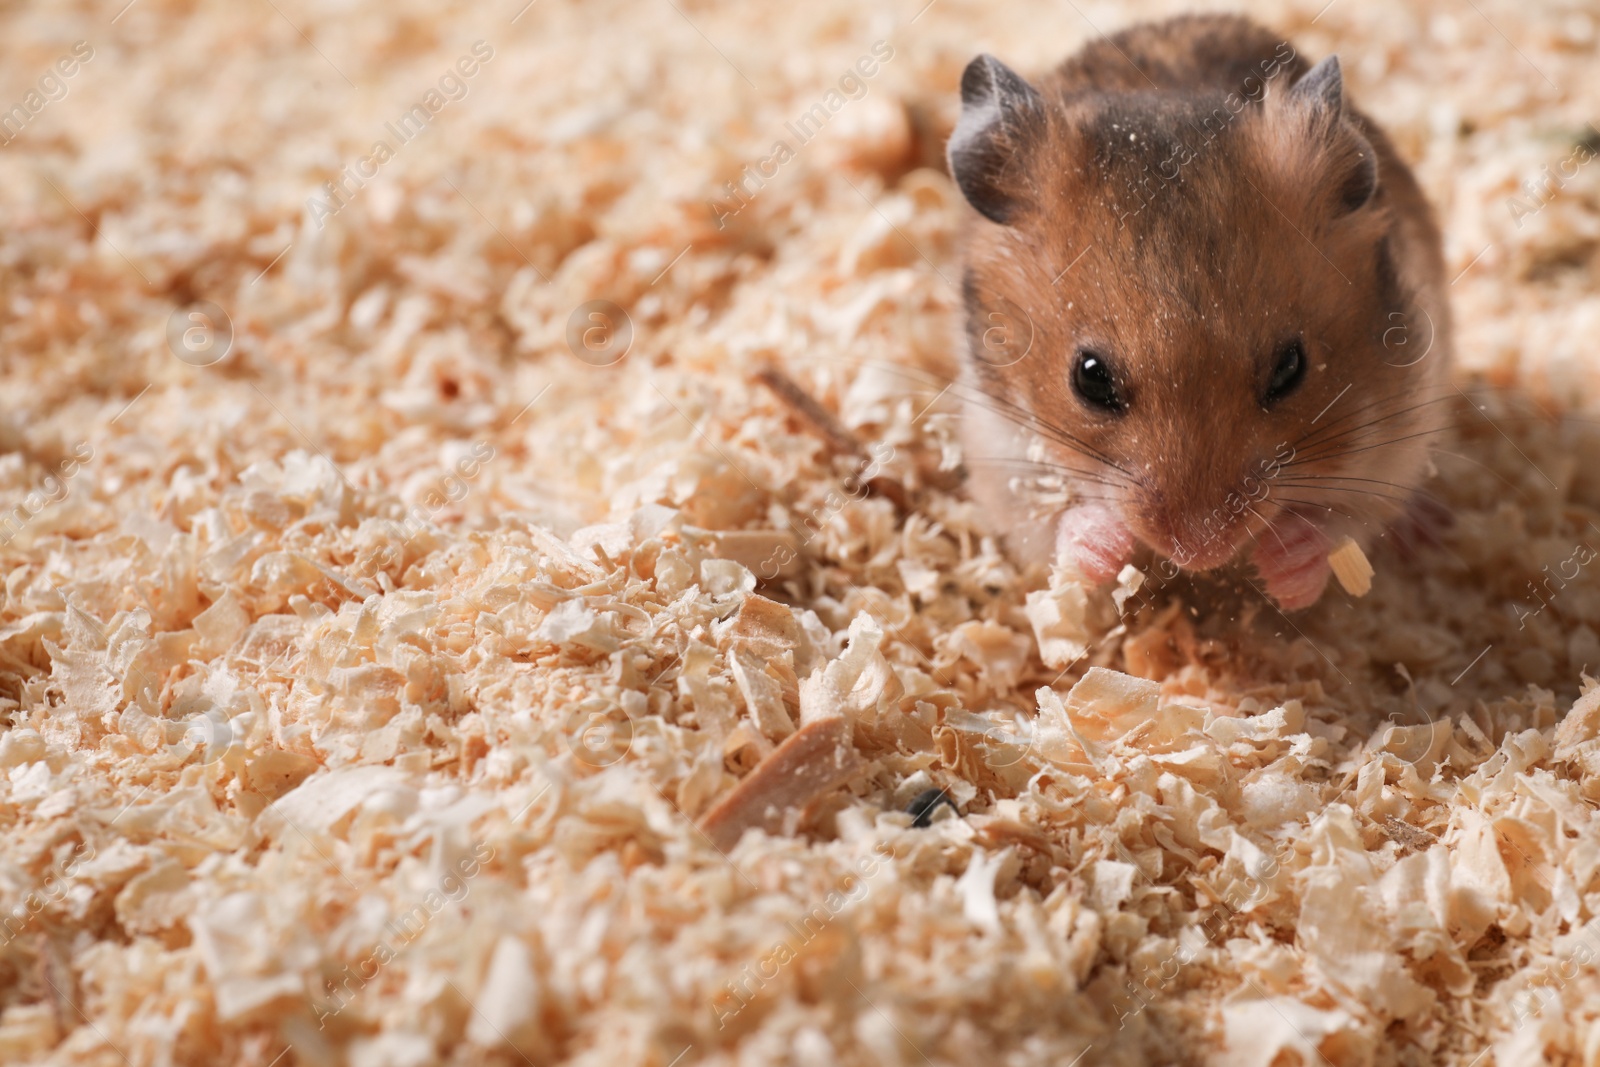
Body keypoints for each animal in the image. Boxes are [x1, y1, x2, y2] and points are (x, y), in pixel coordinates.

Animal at [947, 14, 1452, 607]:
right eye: (1089, 378)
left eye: (1291, 368)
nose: (1200, 551)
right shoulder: (997, 445)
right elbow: (1052, 522)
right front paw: (1103, 545)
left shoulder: (1398, 429)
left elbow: (1345, 521)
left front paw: (1285, 566)